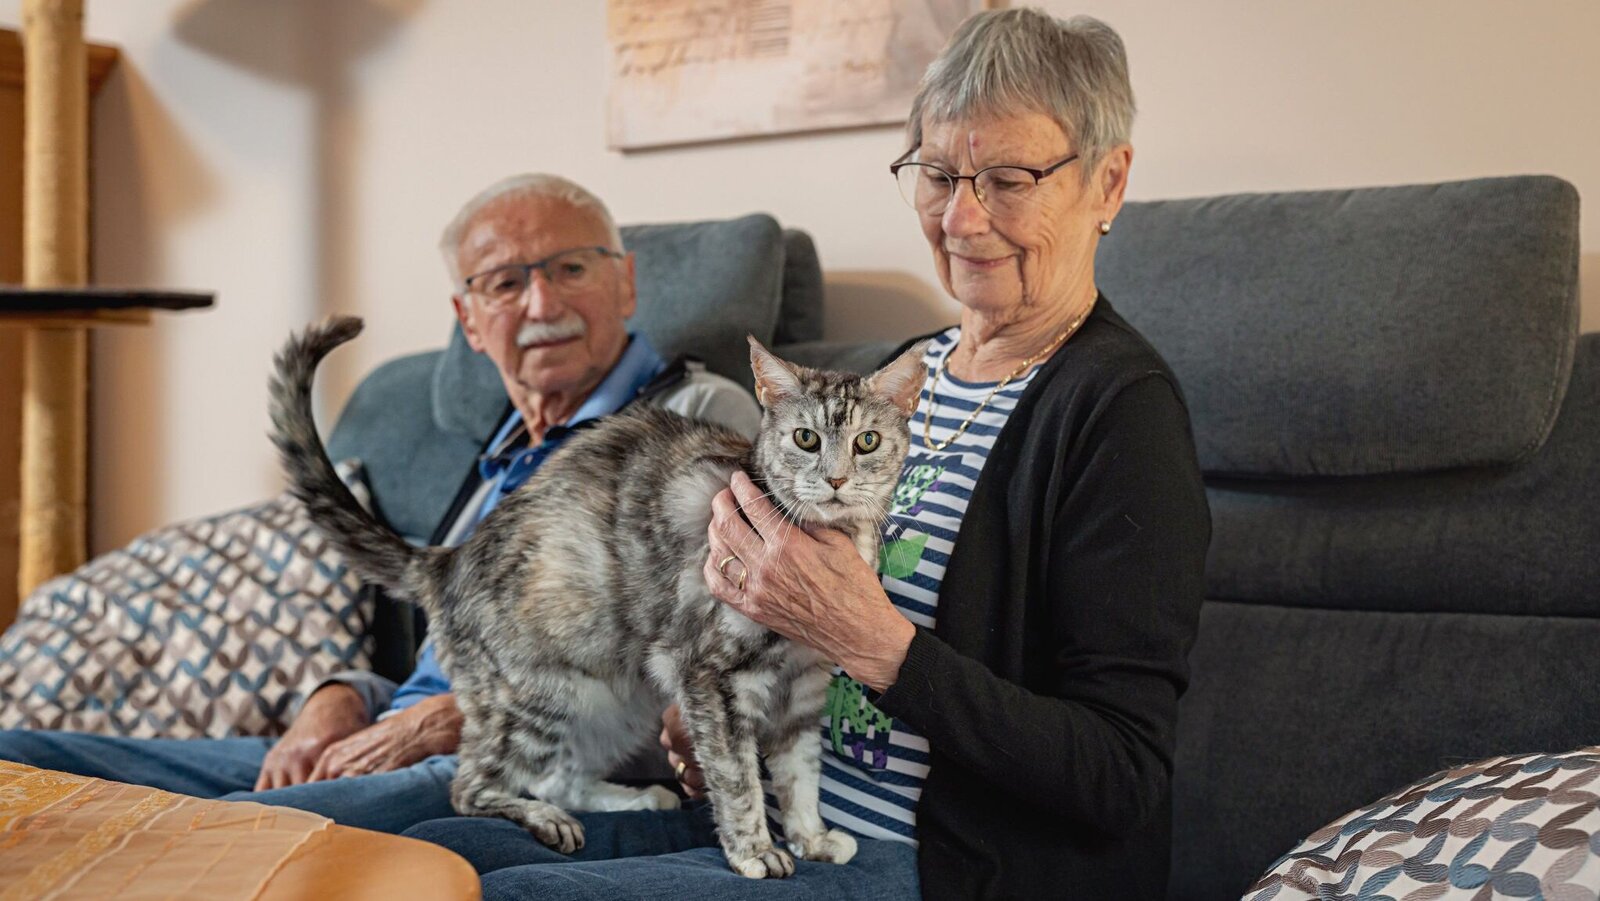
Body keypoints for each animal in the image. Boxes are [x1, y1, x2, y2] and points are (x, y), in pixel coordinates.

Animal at [270, 318, 928, 883]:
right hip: (538, 696)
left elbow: (801, 774)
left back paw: (631, 799)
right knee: (473, 787)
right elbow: (738, 777)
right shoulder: (709, 678)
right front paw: (754, 851)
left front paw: (811, 837)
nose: (837, 479)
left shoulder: (804, 687)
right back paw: (547, 819)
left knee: (557, 776)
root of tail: (448, 558)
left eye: (867, 441)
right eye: (806, 438)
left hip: (620, 698)